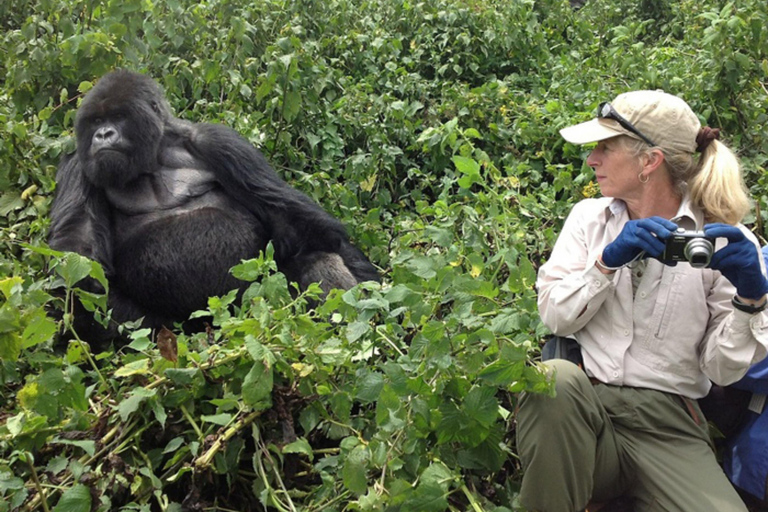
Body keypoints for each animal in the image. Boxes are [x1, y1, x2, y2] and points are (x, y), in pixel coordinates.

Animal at [48, 69, 378, 340]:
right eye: (95, 121)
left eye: (117, 117)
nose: (103, 134)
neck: (152, 156)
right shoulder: (77, 163)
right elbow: (77, 262)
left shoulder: (218, 141)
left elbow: (298, 222)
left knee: (316, 255)